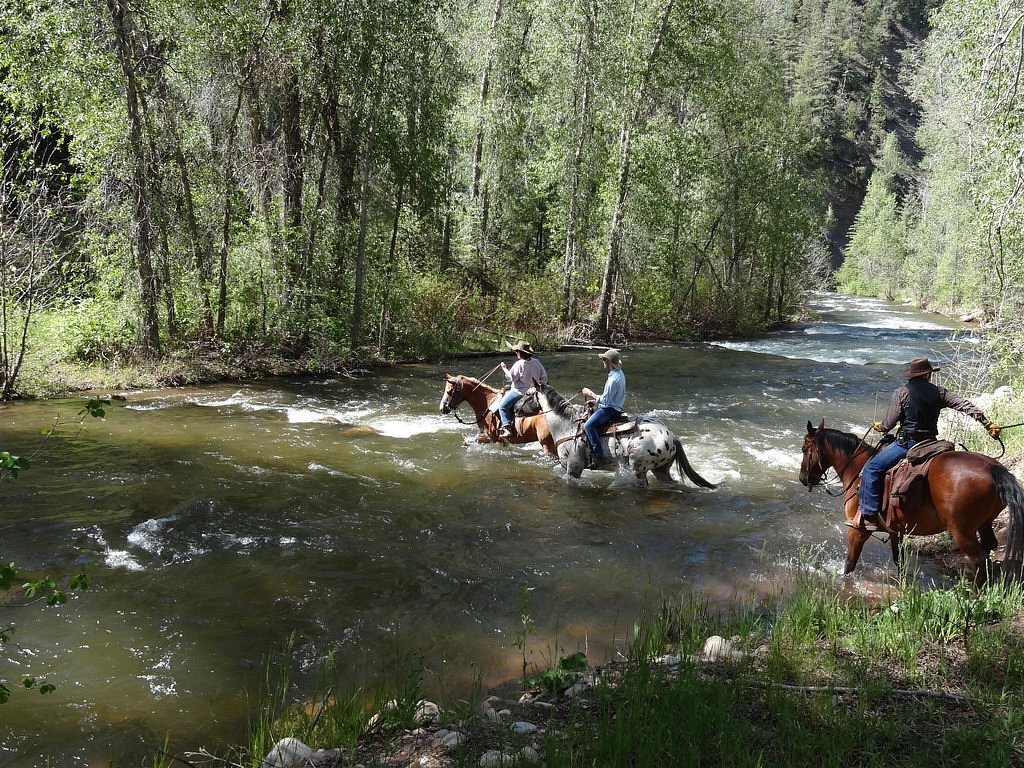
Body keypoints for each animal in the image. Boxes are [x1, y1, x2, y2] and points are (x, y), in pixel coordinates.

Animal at [524, 382, 716, 489]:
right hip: (661, 470)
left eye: (527, 394)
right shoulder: (565, 467)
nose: (517, 410)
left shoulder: (574, 468)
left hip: (638, 467)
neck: (567, 426)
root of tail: (673, 436)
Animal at [798, 421, 1024, 581]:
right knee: (989, 547)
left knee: (977, 558)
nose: (803, 479)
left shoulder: (858, 530)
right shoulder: (896, 531)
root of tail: (993, 468)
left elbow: (849, 565)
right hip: (985, 523)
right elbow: (899, 562)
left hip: (961, 529)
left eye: (804, 449)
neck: (858, 470)